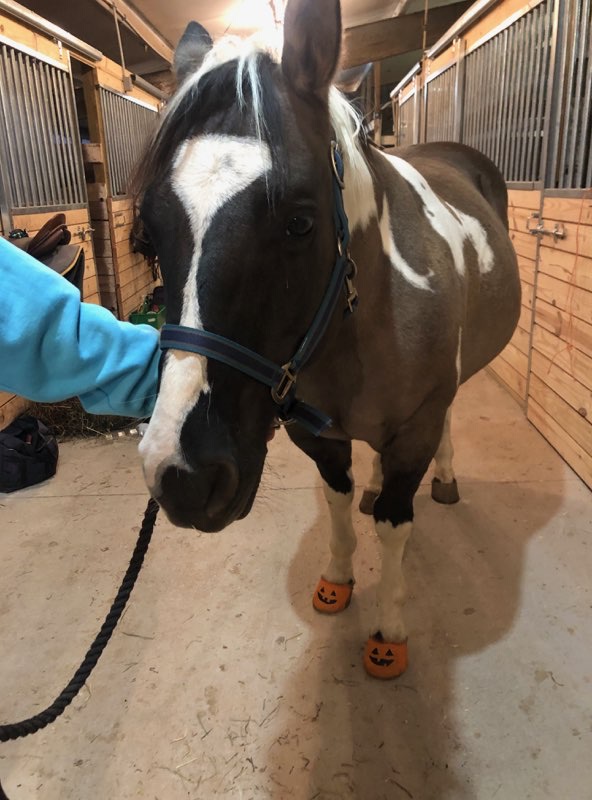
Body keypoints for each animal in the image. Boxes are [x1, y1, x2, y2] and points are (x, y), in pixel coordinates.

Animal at [135, 0, 521, 679]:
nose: (183, 476)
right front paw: (338, 579)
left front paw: (389, 630)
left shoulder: (416, 427)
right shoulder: (314, 433)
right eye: (149, 234)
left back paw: (445, 479)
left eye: (299, 222)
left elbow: (395, 524)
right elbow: (337, 501)